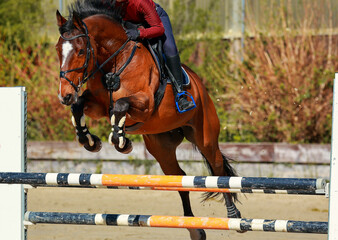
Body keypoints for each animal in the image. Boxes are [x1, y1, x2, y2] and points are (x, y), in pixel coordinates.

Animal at [55, 0, 242, 239]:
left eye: (80, 51)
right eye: (57, 50)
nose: (65, 95)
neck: (115, 59)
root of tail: (201, 87)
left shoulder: (145, 103)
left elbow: (120, 105)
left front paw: (121, 142)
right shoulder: (98, 106)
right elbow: (80, 106)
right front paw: (89, 141)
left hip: (205, 136)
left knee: (218, 170)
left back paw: (233, 215)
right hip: (161, 147)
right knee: (178, 178)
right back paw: (194, 228)